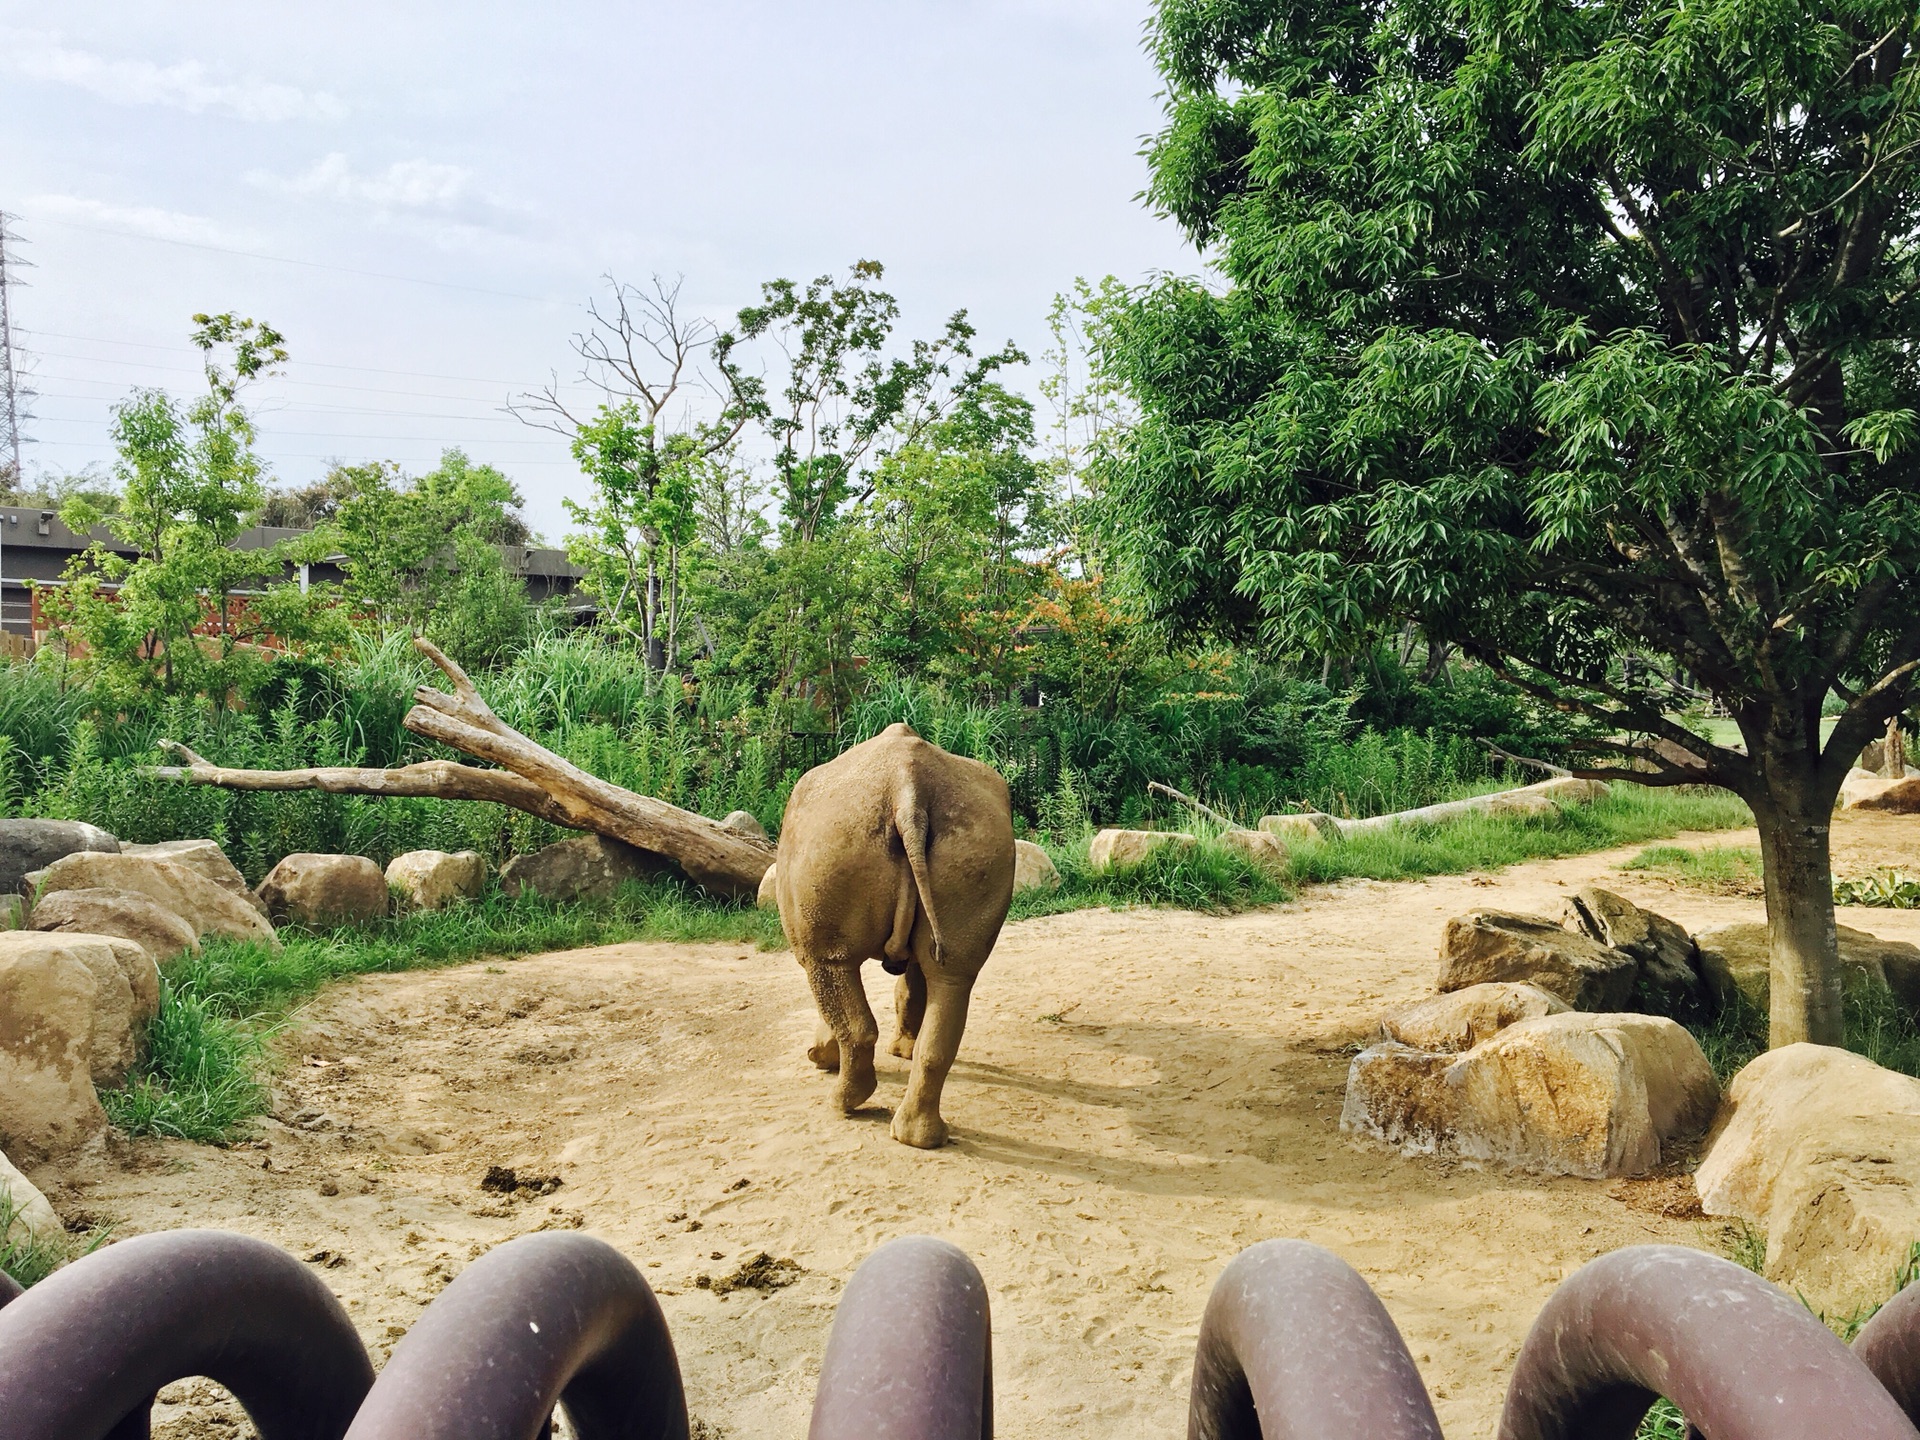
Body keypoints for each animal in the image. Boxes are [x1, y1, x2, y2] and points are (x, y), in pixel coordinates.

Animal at [775, 721, 1021, 1152]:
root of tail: (907, 792)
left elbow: (832, 994)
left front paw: (819, 1057)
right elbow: (911, 986)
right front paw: (900, 1051)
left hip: (834, 832)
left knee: (828, 966)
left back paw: (843, 1105)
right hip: (977, 836)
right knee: (952, 976)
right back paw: (920, 1139)